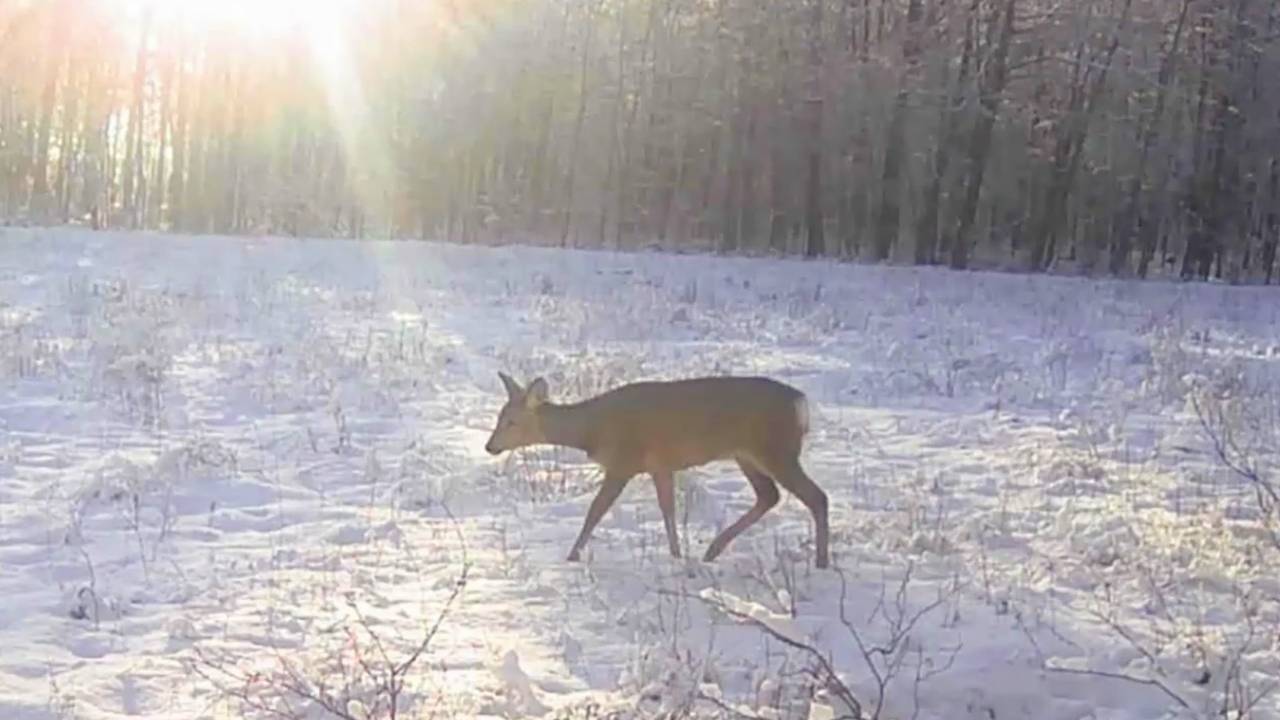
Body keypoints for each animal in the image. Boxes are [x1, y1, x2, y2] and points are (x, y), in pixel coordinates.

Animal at [481, 368, 829, 566]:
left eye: (511, 421)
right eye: (499, 416)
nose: (490, 446)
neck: (592, 430)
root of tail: (801, 402)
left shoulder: (623, 462)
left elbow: (596, 511)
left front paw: (572, 555)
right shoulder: (661, 465)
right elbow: (667, 510)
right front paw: (676, 556)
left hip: (776, 449)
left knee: (816, 497)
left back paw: (822, 562)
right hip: (747, 455)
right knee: (769, 496)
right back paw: (713, 550)